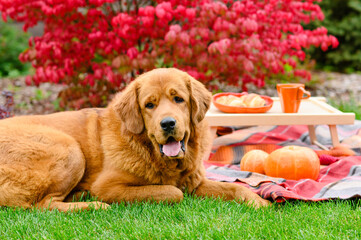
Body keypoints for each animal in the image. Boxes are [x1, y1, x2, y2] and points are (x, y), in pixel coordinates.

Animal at [0, 67, 268, 210]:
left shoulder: (195, 182)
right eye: (149, 105)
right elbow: (172, 192)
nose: (168, 123)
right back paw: (92, 205)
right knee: (43, 205)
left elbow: (234, 187)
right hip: (69, 148)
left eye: (178, 99)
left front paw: (259, 202)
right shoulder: (109, 185)